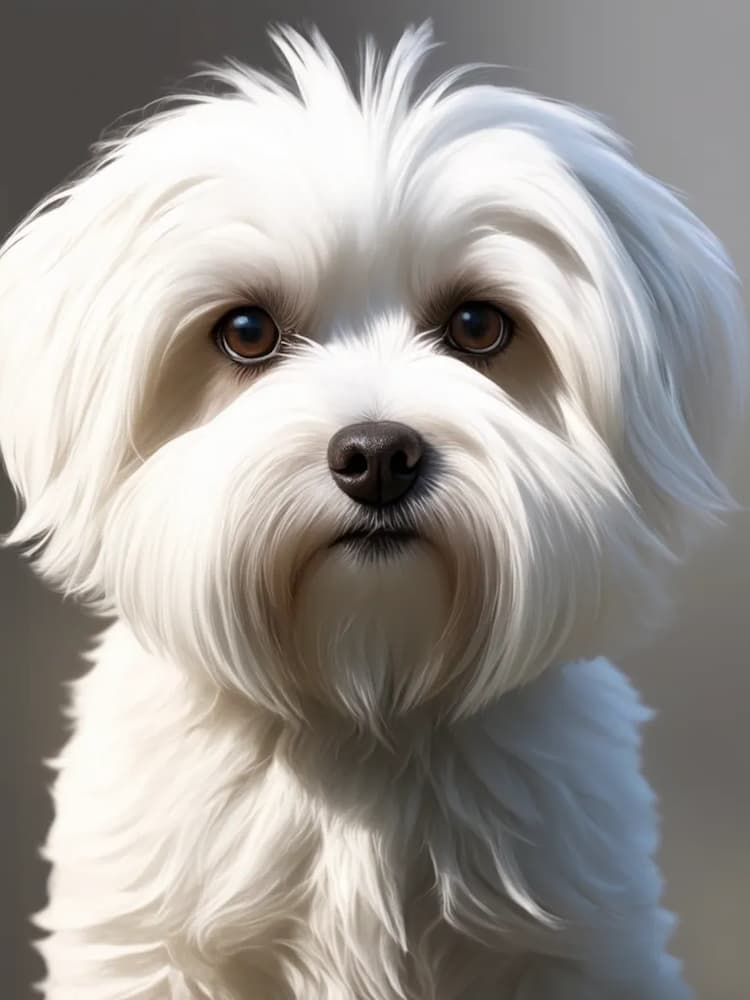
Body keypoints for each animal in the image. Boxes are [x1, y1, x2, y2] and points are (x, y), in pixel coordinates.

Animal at [0, 21, 748, 1000]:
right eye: (247, 332)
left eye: (478, 326)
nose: (378, 458)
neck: (364, 694)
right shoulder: (138, 943)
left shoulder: (581, 940)